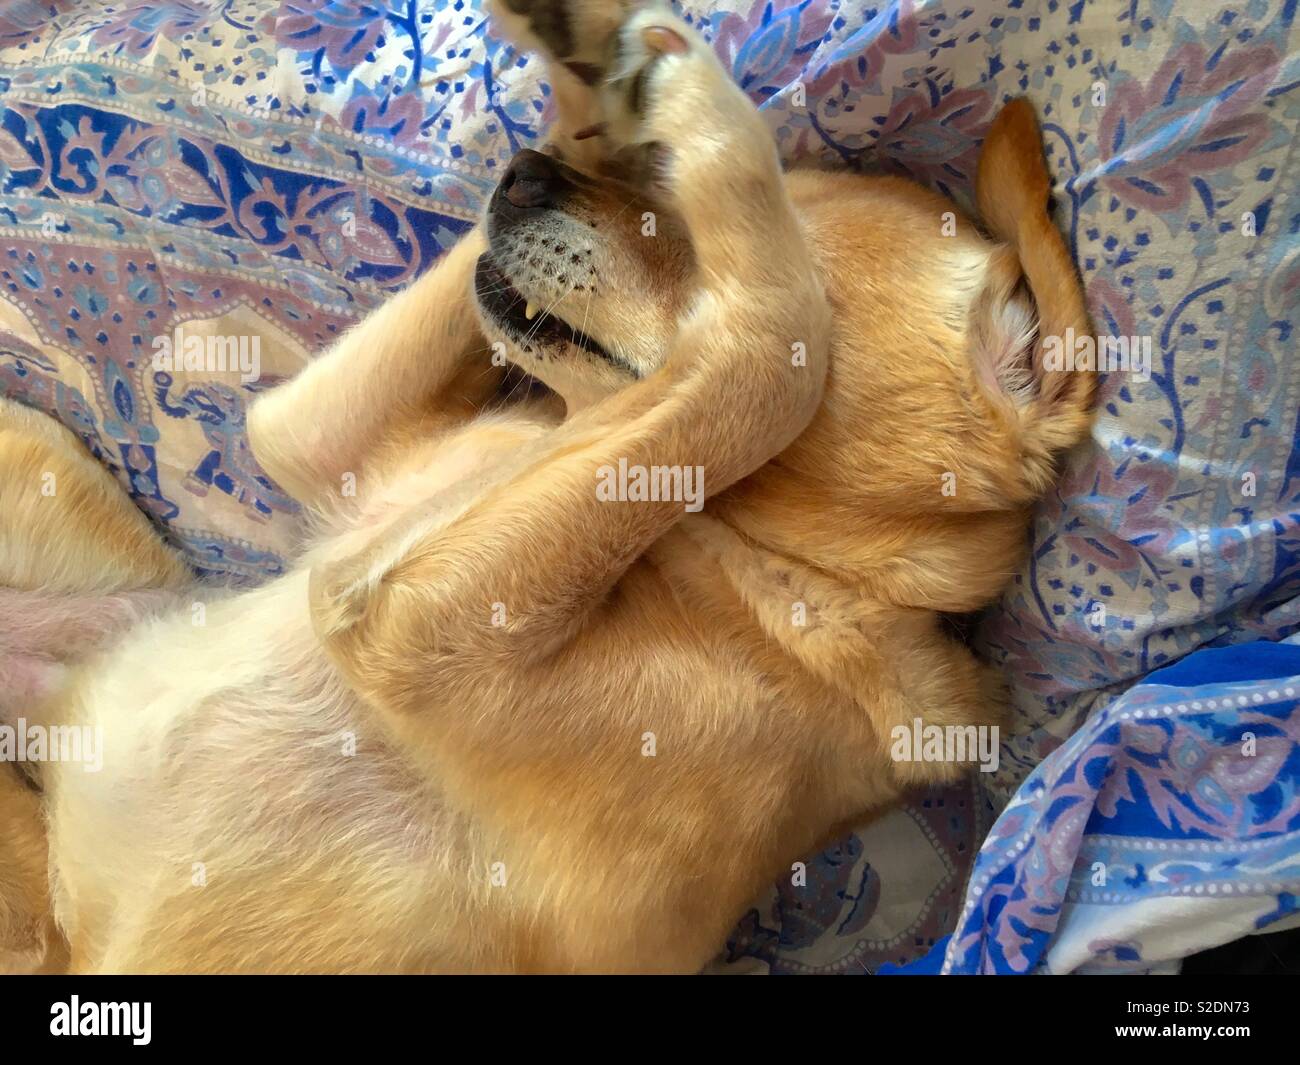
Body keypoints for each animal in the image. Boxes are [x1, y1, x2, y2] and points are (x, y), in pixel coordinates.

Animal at [2, 0, 1086, 972]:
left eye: (710, 223)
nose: (520, 175)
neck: (750, 555)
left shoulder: (410, 629)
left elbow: (775, 351)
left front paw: (708, 108)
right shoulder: (309, 441)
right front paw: (590, 71)